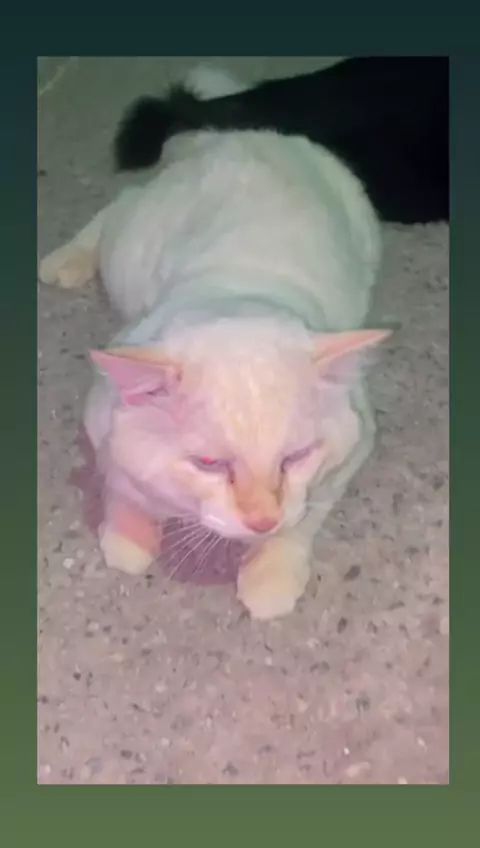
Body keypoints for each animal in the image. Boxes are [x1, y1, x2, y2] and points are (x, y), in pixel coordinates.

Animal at [39, 65, 390, 620]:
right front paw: (129, 538)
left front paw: (271, 576)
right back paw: (64, 260)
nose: (262, 520)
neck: (237, 291)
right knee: (117, 206)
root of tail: (236, 133)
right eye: (209, 464)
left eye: (295, 457)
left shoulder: (352, 446)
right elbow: (121, 483)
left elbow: (306, 517)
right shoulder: (102, 415)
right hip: (129, 243)